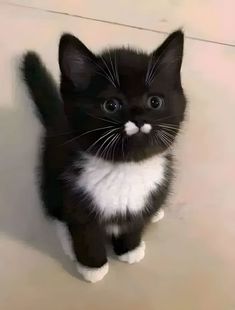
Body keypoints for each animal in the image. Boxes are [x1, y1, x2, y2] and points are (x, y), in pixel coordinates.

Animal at [22, 30, 187, 282]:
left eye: (155, 101)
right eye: (111, 105)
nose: (138, 119)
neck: (124, 170)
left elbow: (135, 224)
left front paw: (130, 249)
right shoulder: (75, 195)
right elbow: (85, 233)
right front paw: (93, 267)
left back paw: (156, 211)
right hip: (50, 170)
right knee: (53, 209)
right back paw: (68, 243)